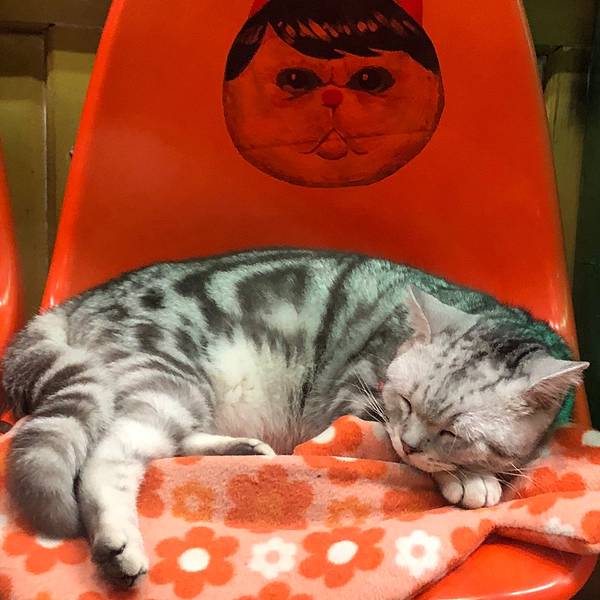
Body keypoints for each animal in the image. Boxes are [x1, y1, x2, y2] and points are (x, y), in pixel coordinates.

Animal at [0, 248, 587, 587]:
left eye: (454, 432)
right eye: (403, 402)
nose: (413, 442)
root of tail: (72, 303)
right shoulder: (355, 403)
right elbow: (391, 447)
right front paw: (469, 478)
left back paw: (243, 449)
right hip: (169, 379)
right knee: (107, 458)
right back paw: (117, 542)